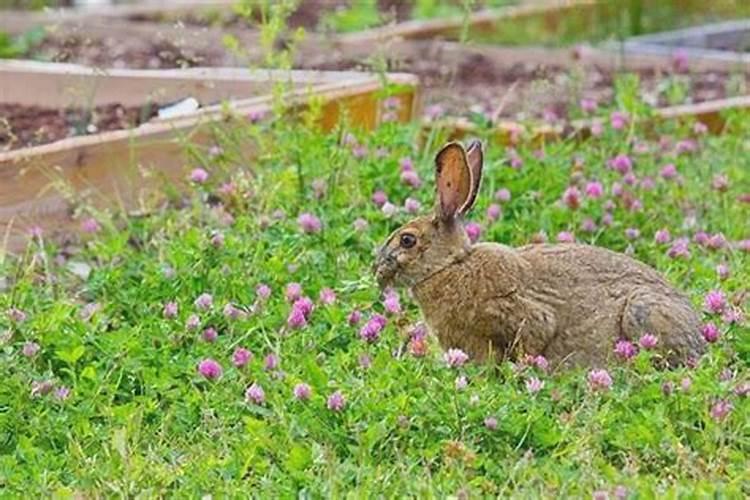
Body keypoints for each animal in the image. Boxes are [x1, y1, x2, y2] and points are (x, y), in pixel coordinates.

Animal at [374, 140, 708, 368]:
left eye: (407, 240)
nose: (377, 271)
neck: (451, 265)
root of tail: (699, 341)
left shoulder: (521, 317)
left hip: (643, 312)